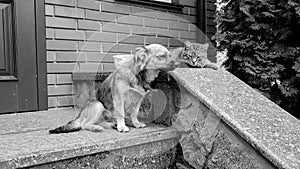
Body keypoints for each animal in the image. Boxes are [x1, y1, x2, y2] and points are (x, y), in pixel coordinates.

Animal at [49, 43, 179, 133]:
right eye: (161, 56)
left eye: (170, 55)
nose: (178, 64)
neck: (138, 74)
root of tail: (80, 115)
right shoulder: (119, 98)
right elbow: (120, 114)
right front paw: (122, 127)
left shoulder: (138, 100)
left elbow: (134, 113)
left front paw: (136, 123)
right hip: (98, 105)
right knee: (84, 125)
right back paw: (96, 127)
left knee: (101, 122)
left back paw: (111, 125)